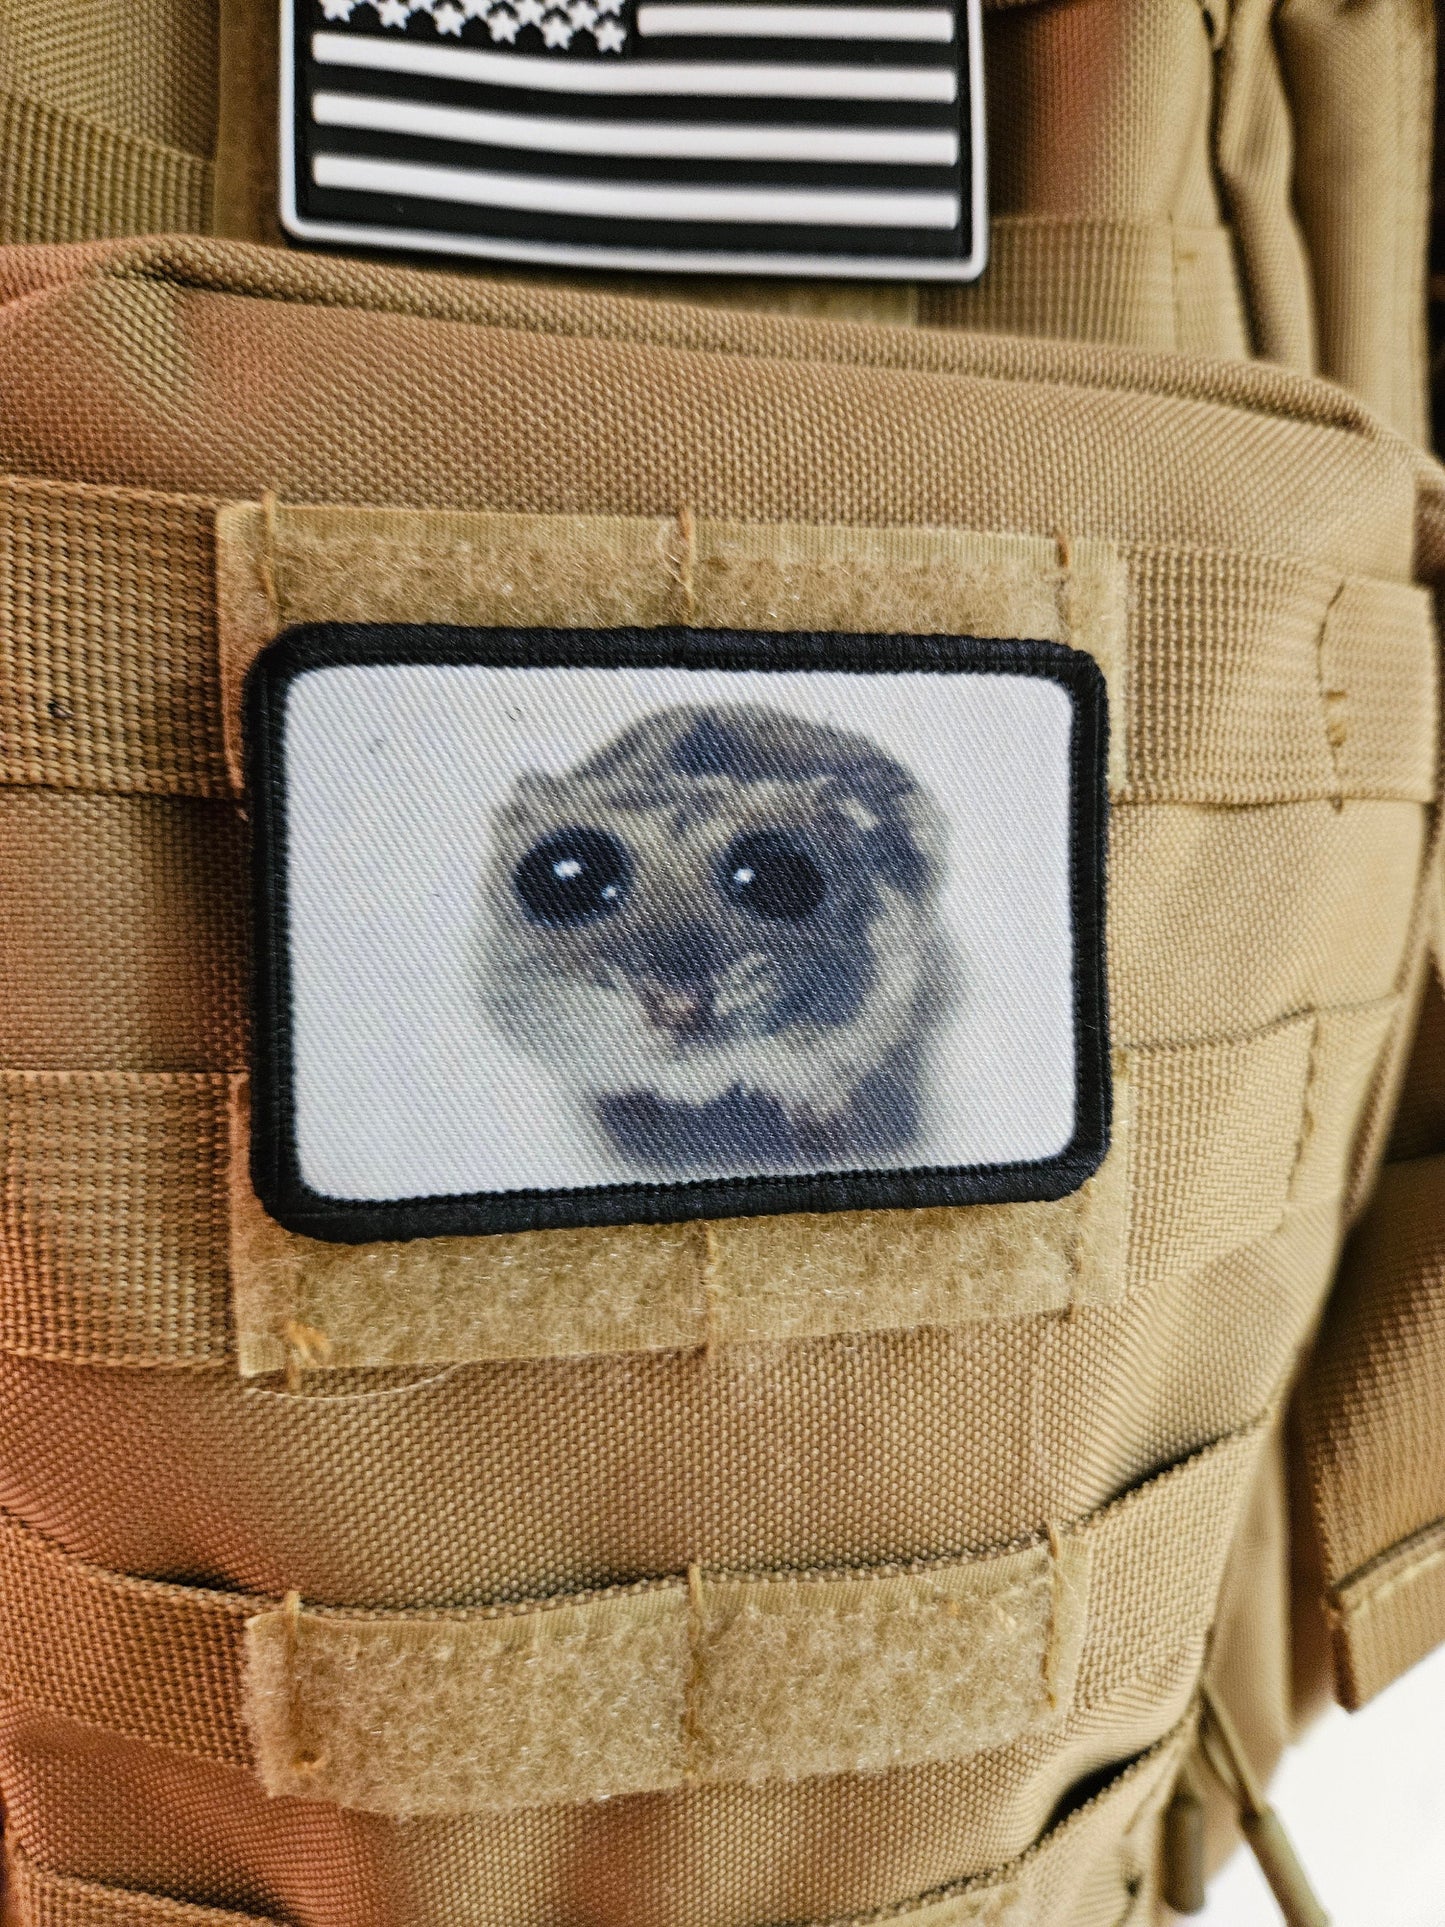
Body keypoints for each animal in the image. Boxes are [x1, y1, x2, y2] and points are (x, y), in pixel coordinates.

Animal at [479, 701, 956, 1178]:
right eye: (567, 876)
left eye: (781, 877)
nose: (679, 1009)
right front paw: (633, 1125)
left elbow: (818, 1103)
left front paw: (827, 1148)